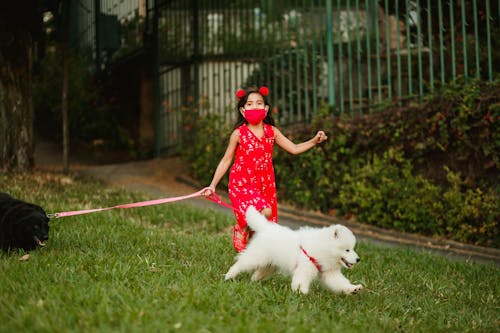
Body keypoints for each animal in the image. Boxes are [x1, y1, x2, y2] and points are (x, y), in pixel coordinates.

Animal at [227, 205, 364, 294]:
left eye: (352, 249)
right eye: (347, 250)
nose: (358, 259)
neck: (323, 248)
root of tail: (267, 228)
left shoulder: (330, 273)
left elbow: (340, 282)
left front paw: (353, 288)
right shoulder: (305, 267)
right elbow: (301, 280)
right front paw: (300, 292)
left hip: (270, 264)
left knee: (258, 273)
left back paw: (254, 281)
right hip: (257, 256)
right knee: (241, 263)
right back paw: (229, 276)